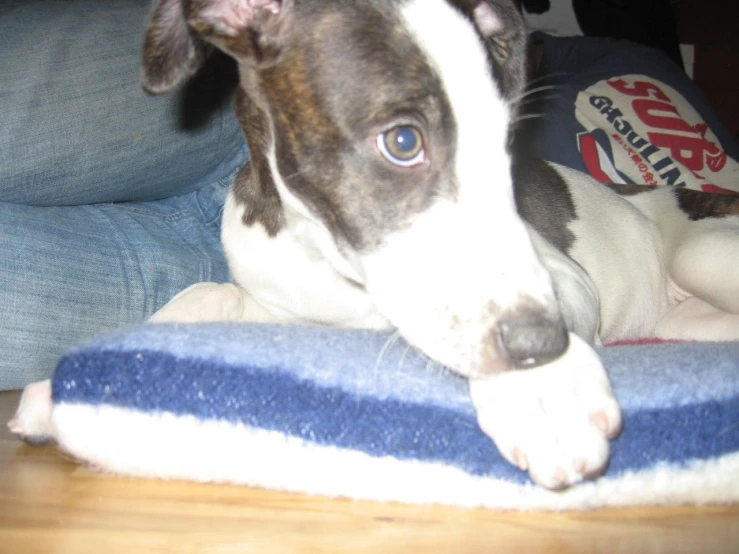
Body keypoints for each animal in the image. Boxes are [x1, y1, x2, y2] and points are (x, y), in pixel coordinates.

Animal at [10, 0, 739, 488]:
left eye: (506, 146)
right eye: (403, 141)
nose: (537, 346)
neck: (323, 253)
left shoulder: (558, 276)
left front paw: (543, 393)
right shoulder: (276, 304)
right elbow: (199, 294)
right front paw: (56, 390)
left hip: (701, 254)